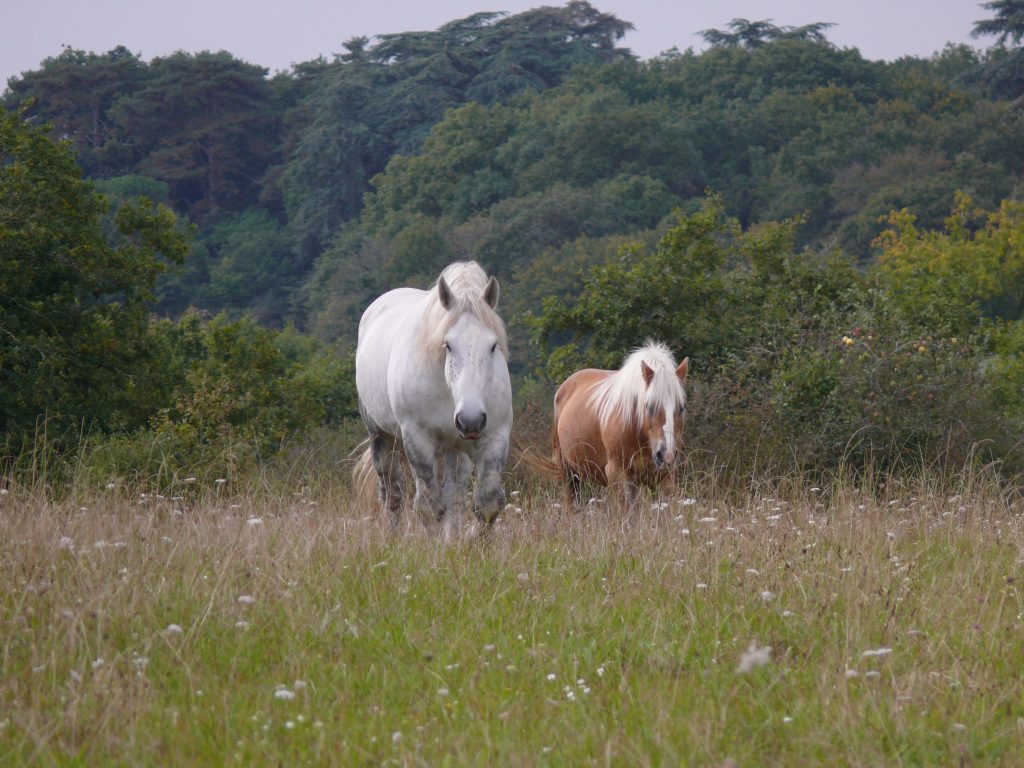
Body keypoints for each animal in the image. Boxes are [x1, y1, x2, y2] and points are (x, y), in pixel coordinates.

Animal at [356, 262, 512, 536]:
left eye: (493, 346)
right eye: (447, 345)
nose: (470, 420)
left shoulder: (495, 436)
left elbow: (488, 504)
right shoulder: (417, 439)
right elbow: (428, 505)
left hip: (456, 448)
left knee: (454, 496)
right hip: (380, 435)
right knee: (391, 492)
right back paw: (392, 537)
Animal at [552, 342, 688, 505]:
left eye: (681, 407)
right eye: (649, 406)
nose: (666, 454)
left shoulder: (665, 477)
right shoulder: (617, 473)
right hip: (568, 474)